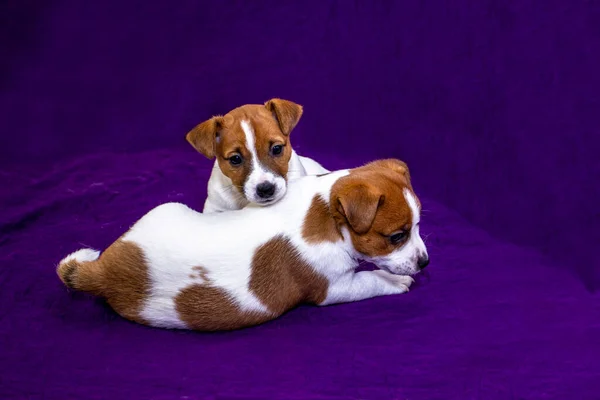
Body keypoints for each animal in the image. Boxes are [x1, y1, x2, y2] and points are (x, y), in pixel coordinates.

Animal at [57, 159, 426, 332]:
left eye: (419, 224)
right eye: (397, 236)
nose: (425, 263)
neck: (325, 214)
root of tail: (103, 272)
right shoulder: (333, 288)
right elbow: (371, 279)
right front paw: (397, 281)